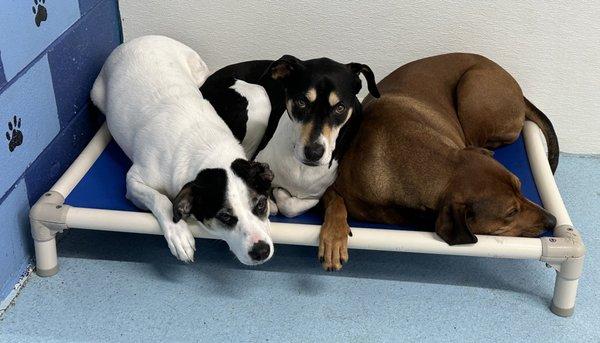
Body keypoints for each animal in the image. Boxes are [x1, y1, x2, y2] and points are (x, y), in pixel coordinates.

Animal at [318, 53, 556, 272]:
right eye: (511, 213)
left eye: (520, 187)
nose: (552, 221)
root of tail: (520, 92)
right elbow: (335, 201)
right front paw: (334, 239)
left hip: (473, 87)